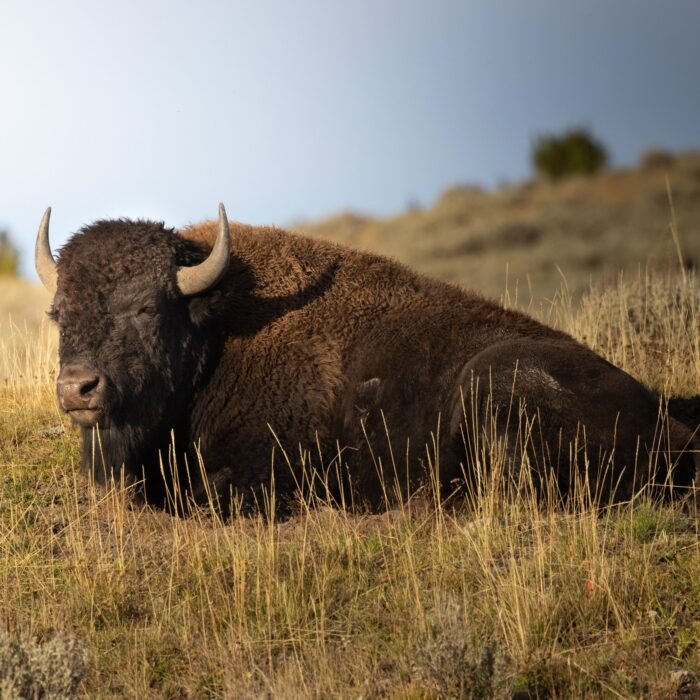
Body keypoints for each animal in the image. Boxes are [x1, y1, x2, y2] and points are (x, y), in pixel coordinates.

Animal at [35, 204, 698, 515]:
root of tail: (670, 423)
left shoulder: (265, 469)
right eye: (58, 313)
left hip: (494, 381)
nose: (78, 389)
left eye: (147, 307)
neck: (216, 330)